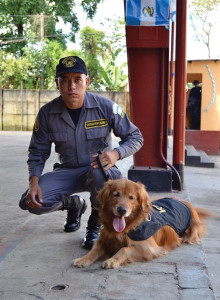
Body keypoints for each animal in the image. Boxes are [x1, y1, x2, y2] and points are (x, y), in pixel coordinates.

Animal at [73, 178, 213, 270]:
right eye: (116, 194)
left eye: (131, 197)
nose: (122, 210)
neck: (127, 227)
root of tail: (185, 202)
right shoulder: (104, 239)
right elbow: (94, 249)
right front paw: (83, 259)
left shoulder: (149, 249)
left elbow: (124, 249)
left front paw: (112, 260)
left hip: (192, 231)